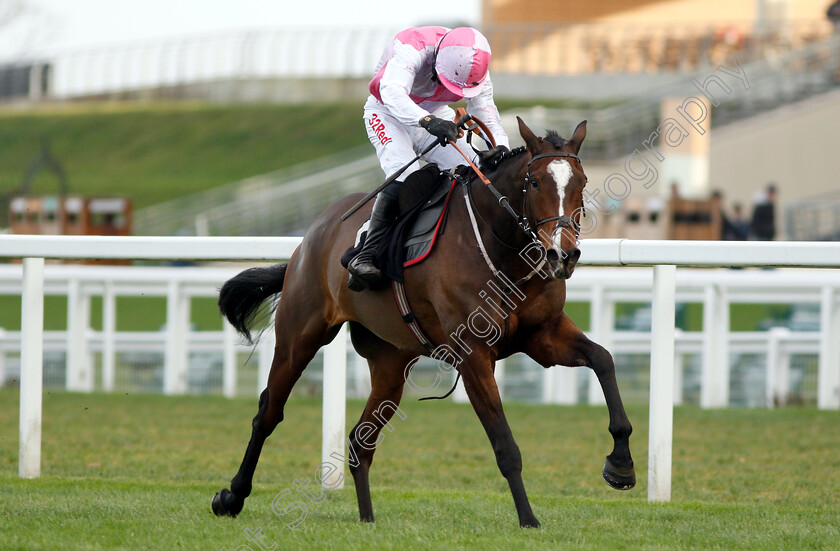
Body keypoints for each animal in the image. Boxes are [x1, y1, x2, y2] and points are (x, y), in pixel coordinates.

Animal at [212, 117, 636, 532]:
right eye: (534, 183)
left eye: (581, 182)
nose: (562, 254)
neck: (501, 250)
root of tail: (310, 235)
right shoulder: (473, 354)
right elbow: (505, 445)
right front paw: (528, 519)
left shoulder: (542, 335)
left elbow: (603, 359)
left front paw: (621, 464)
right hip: (300, 334)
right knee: (268, 412)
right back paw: (232, 496)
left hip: (390, 361)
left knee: (360, 441)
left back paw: (367, 519)